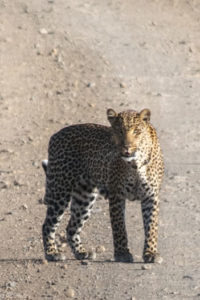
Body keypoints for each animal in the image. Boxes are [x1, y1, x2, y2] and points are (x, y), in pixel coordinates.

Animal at [41, 108, 164, 262]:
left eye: (136, 131)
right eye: (119, 131)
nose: (126, 148)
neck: (136, 163)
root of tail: (55, 135)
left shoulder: (151, 196)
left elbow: (151, 226)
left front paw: (150, 253)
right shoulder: (117, 195)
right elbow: (119, 227)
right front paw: (122, 253)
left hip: (85, 196)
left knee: (72, 227)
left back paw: (81, 253)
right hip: (60, 190)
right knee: (48, 225)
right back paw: (52, 253)